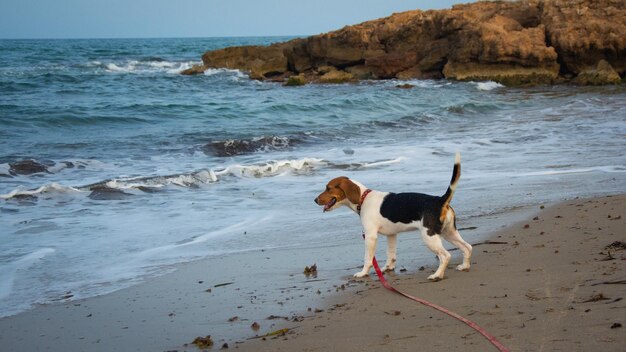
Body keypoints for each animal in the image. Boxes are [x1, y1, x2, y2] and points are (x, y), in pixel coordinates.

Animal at [314, 153, 470, 282]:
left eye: (328, 188)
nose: (315, 200)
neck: (363, 198)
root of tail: (439, 200)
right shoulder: (391, 235)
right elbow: (391, 254)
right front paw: (388, 268)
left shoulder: (370, 236)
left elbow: (368, 259)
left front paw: (363, 273)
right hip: (448, 232)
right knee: (467, 247)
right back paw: (465, 266)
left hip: (430, 236)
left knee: (446, 256)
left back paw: (437, 275)